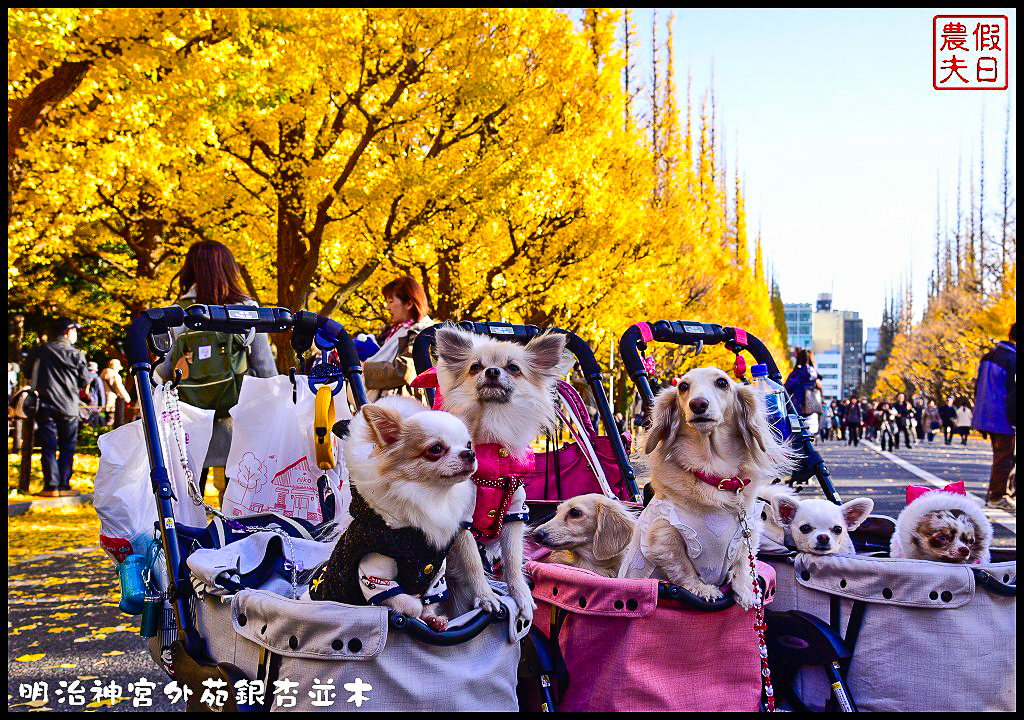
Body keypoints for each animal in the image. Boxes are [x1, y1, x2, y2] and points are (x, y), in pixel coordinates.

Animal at [309, 393, 501, 630]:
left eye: (468, 444)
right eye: (435, 449)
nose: (470, 453)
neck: (432, 498)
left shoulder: (436, 573)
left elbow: (431, 598)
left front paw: (433, 618)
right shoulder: (373, 576)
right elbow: (409, 602)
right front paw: (415, 612)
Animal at [432, 327, 569, 626]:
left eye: (513, 368)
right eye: (475, 367)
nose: (492, 371)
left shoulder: (514, 514)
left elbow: (513, 562)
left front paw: (521, 596)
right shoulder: (462, 521)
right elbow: (474, 562)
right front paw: (486, 596)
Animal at [618, 368, 794, 610]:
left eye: (722, 383)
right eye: (683, 386)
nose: (698, 404)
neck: (715, 476)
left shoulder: (748, 531)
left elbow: (743, 563)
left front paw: (747, 591)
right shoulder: (663, 537)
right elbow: (683, 569)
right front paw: (703, 590)